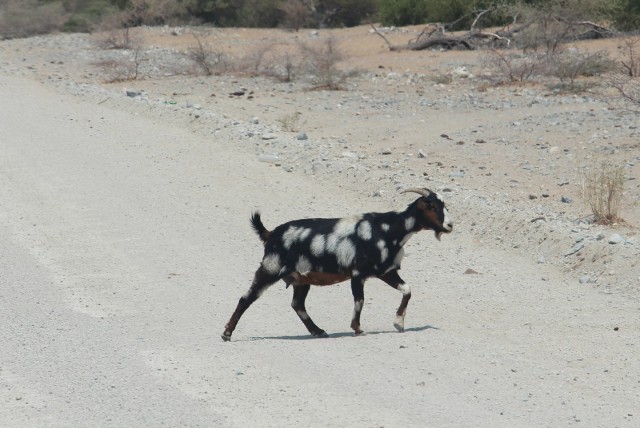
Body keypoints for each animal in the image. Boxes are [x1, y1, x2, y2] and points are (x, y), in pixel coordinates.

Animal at [222, 187, 452, 342]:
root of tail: (270, 234)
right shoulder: (358, 273)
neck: (387, 229)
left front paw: (398, 322)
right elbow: (360, 300)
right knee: (247, 297)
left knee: (297, 304)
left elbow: (407, 290)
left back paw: (318, 331)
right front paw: (357, 328)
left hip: (301, 278)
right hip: (270, 268)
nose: (449, 225)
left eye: (444, 205)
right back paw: (227, 333)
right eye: (431, 206)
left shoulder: (386, 271)